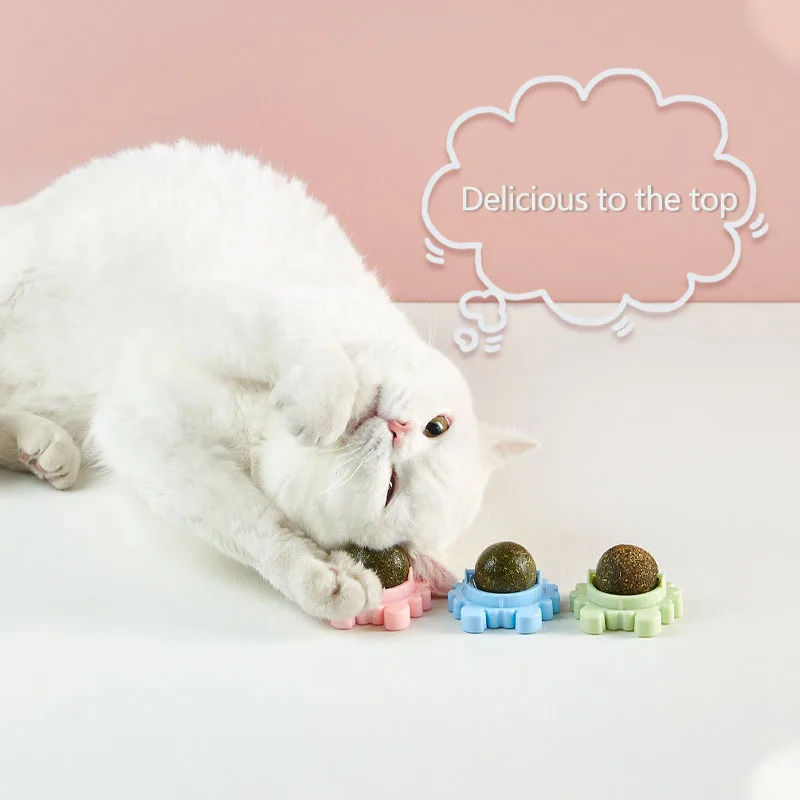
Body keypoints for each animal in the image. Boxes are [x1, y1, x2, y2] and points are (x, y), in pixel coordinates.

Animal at [0, 141, 536, 620]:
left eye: (390, 487)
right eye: (436, 425)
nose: (396, 429)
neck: (263, 426)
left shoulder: (148, 438)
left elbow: (250, 525)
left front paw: (321, 578)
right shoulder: (218, 308)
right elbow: (309, 351)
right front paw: (323, 407)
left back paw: (43, 450)